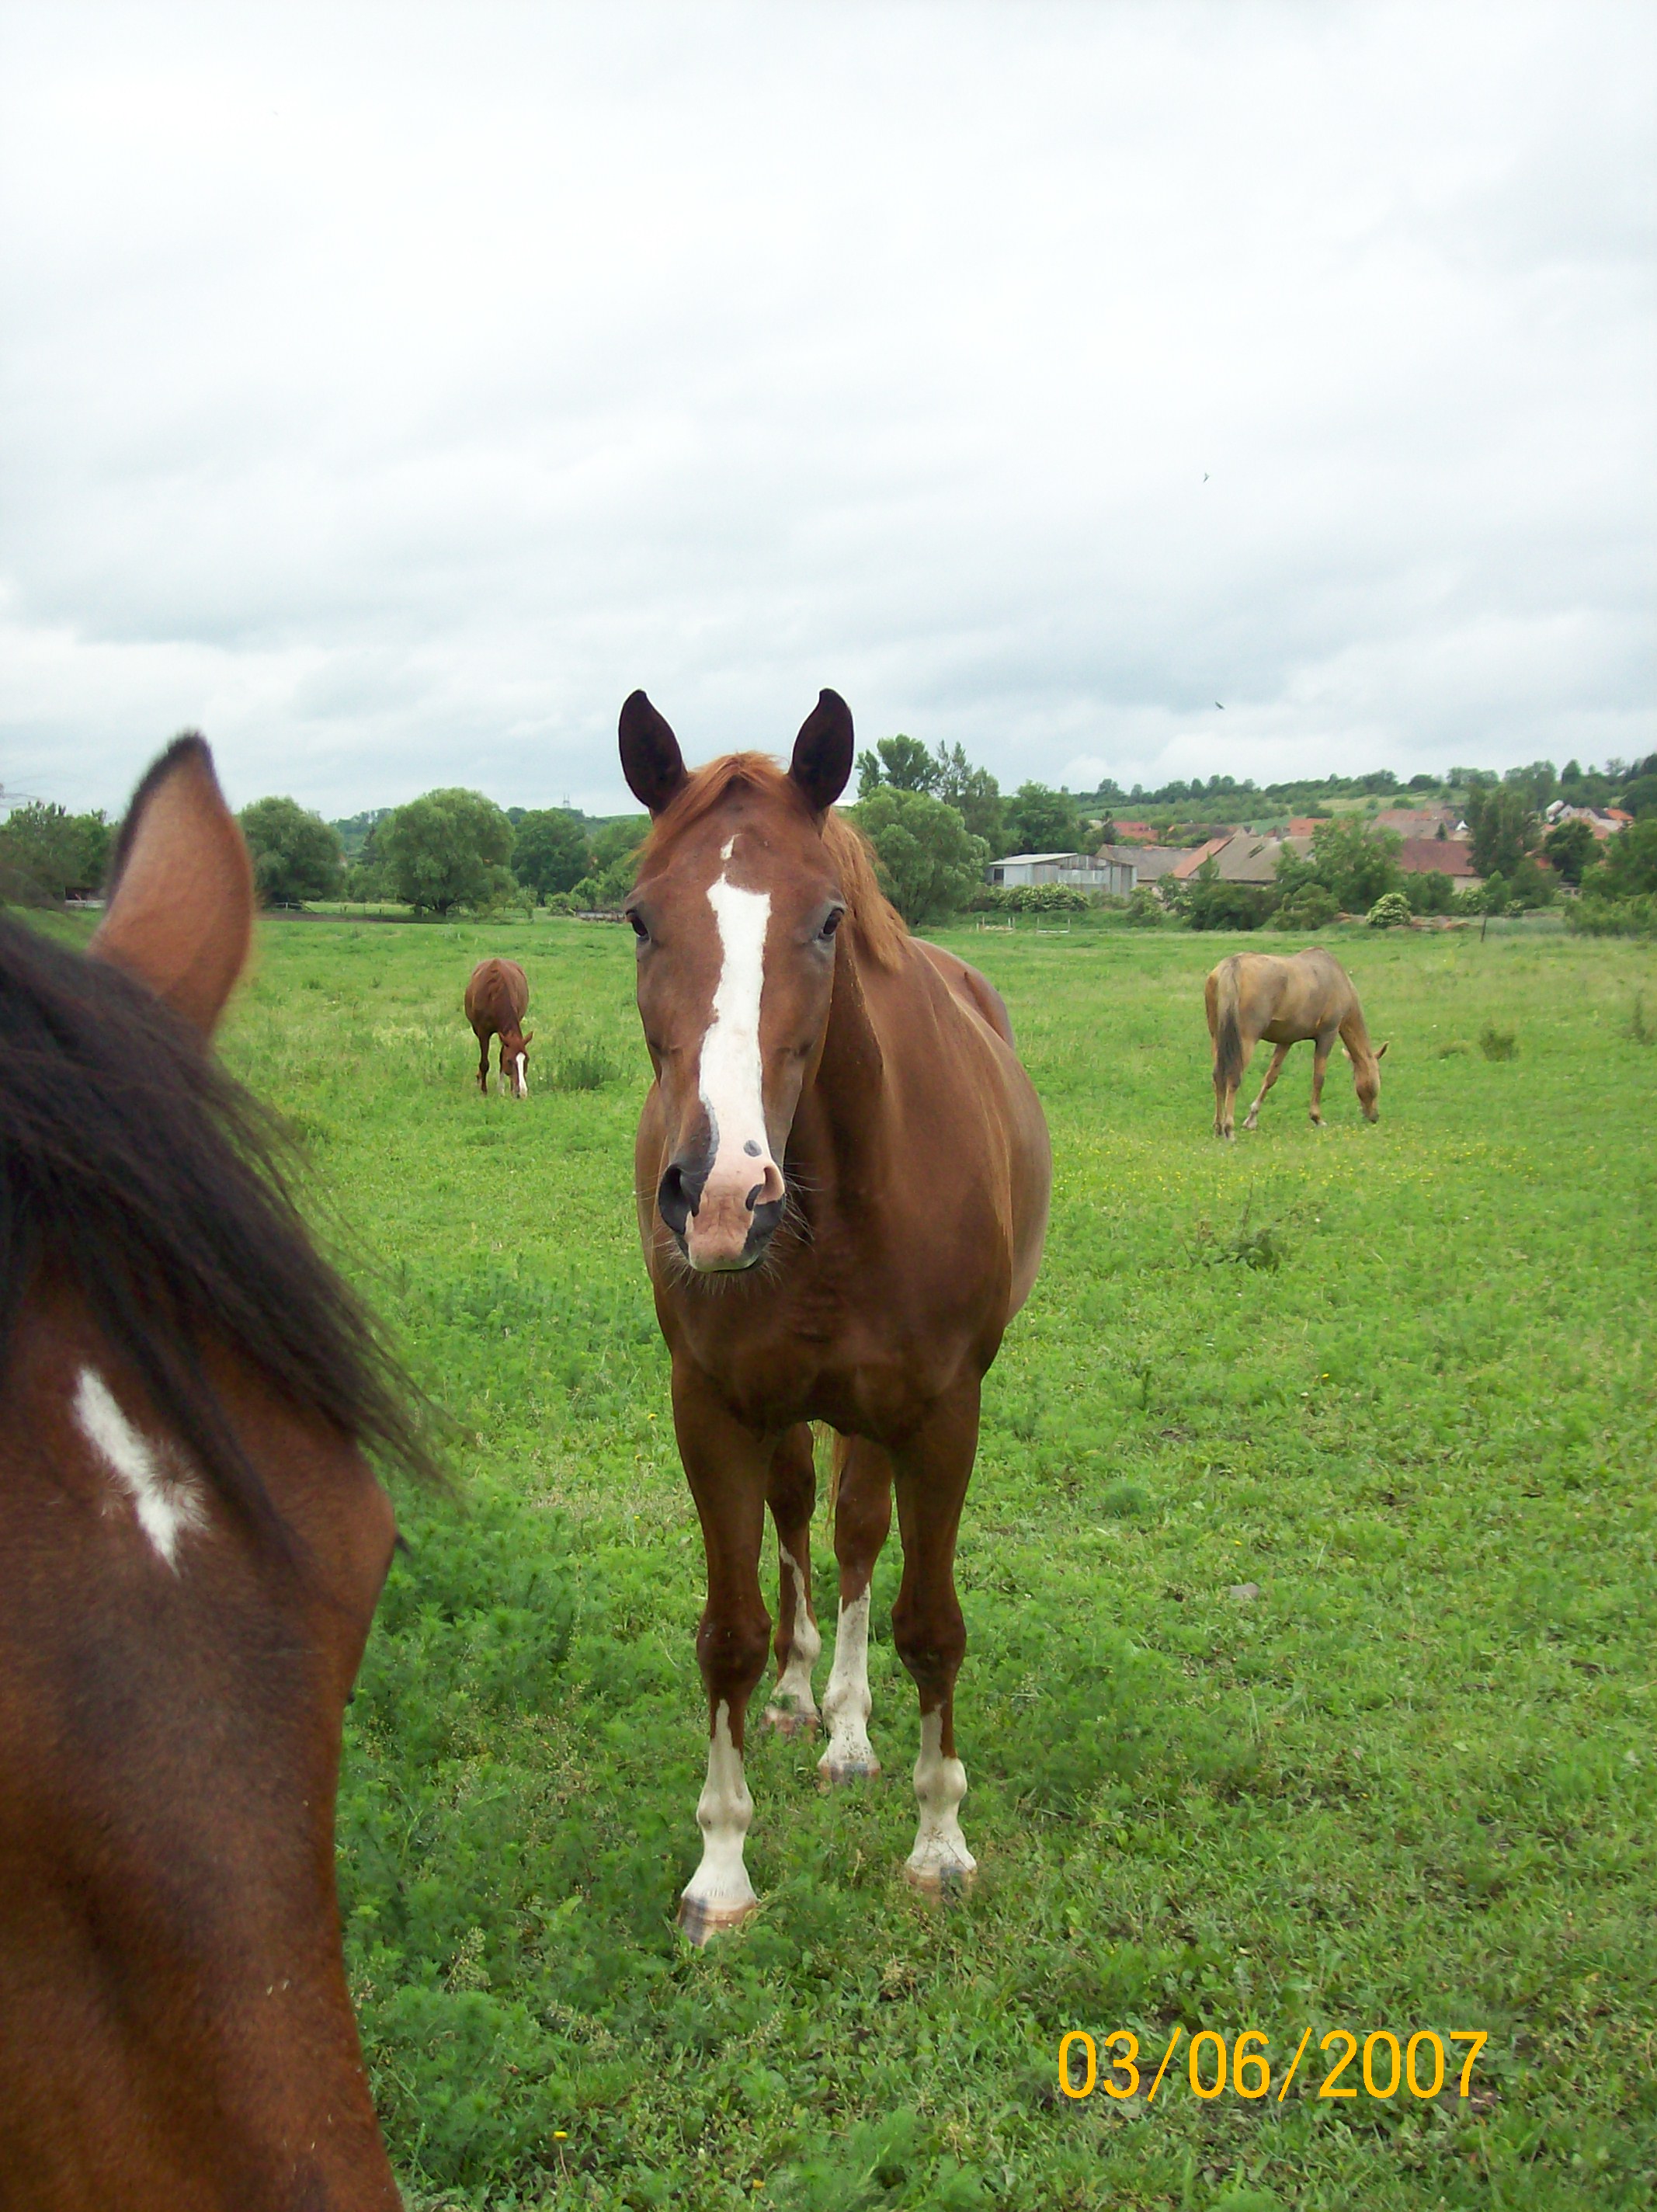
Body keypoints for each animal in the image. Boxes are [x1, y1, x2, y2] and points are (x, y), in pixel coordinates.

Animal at [457, 951, 530, 1097]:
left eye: (527, 1059)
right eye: (510, 1061)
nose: (522, 1093)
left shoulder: (504, 1034)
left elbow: (501, 1056)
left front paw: (503, 1089)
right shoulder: (483, 1032)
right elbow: (485, 1063)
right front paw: (484, 1090)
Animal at [615, 685, 1053, 1937]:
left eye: (823, 922)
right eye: (639, 921)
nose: (721, 1194)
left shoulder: (942, 1412)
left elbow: (930, 1625)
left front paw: (940, 1841)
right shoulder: (712, 1409)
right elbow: (727, 1635)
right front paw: (720, 1869)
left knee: (859, 1541)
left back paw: (853, 1734)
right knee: (808, 1522)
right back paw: (805, 1696)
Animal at [1203, 946, 1380, 1141]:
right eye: (1377, 1081)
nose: (1374, 1117)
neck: (1338, 979)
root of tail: (1232, 965)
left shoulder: (1286, 1041)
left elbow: (1271, 1077)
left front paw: (1252, 1119)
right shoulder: (1328, 1034)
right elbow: (1319, 1077)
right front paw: (1317, 1118)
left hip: (1218, 1039)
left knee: (1218, 1077)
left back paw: (1218, 1127)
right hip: (1245, 1041)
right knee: (1233, 1078)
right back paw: (1229, 1129)